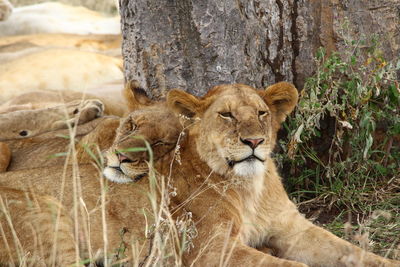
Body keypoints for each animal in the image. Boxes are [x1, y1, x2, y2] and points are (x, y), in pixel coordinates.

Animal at [0, 82, 400, 266]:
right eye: (226, 115)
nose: (254, 141)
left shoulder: (294, 230)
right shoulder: (210, 251)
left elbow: (353, 253)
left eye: (261, 113)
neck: (250, 186)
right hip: (47, 219)